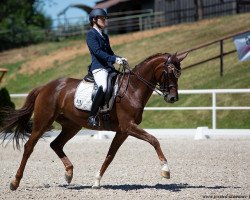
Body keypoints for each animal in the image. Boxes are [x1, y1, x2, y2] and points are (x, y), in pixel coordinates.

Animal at [0, 52, 188, 191]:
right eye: (170, 73)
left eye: (178, 74)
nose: (173, 98)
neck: (133, 89)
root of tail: (45, 87)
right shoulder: (129, 126)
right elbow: (154, 140)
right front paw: (165, 170)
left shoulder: (123, 131)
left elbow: (110, 155)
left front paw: (96, 181)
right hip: (43, 122)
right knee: (29, 147)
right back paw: (15, 182)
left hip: (72, 126)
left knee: (56, 144)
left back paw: (69, 173)